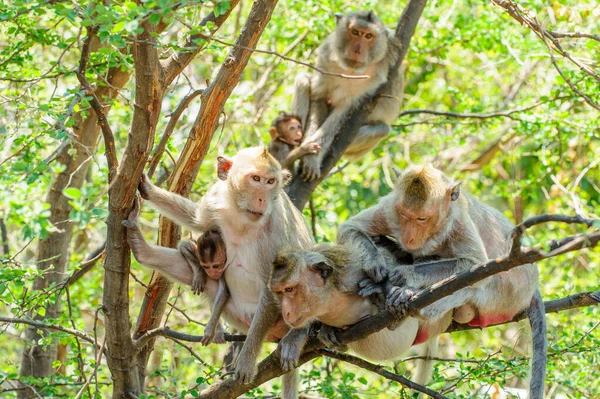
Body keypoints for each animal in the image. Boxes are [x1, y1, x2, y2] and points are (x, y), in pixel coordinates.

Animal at [123, 200, 231, 346]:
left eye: (216, 266)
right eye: (206, 266)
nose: (211, 273)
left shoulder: (224, 269)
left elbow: (224, 292)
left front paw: (210, 329)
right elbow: (184, 246)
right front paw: (199, 274)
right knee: (145, 255)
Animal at [135, 147, 314, 396]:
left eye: (271, 182)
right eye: (255, 179)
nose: (262, 198)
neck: (242, 215)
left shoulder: (278, 228)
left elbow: (275, 287)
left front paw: (247, 360)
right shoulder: (216, 197)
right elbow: (197, 222)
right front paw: (148, 189)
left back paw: (297, 336)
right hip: (240, 317)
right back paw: (143, 250)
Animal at [290, 10, 404, 181]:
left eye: (368, 36)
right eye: (355, 32)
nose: (357, 50)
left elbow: (342, 112)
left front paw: (312, 159)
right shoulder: (325, 57)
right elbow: (319, 97)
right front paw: (309, 154)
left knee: (383, 129)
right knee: (302, 79)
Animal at [338, 165, 548, 399]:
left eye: (422, 219)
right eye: (404, 215)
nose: (409, 237)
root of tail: (533, 285)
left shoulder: (458, 222)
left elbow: (477, 265)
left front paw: (404, 275)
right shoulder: (388, 210)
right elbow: (350, 228)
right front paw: (376, 264)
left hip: (511, 291)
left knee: (476, 285)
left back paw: (411, 301)